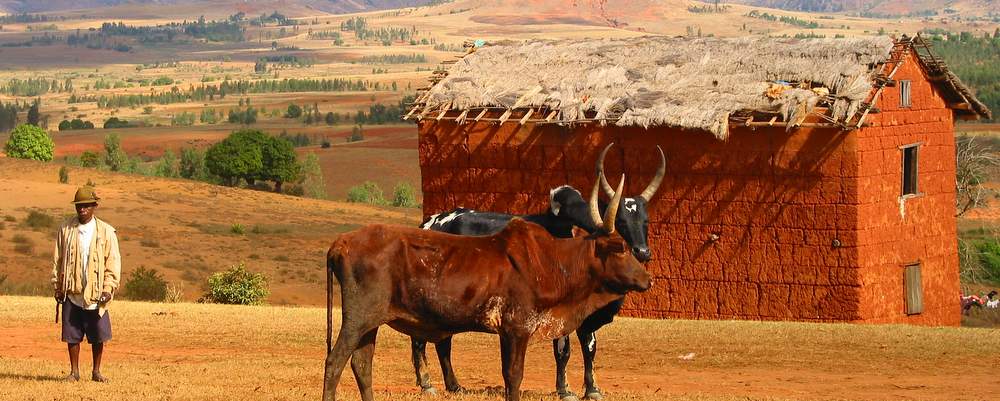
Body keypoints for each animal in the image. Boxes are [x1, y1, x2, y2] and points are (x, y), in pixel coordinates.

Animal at [412, 142, 664, 398]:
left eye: (645, 221)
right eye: (621, 221)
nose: (643, 252)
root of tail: (429, 222)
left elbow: (589, 347)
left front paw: (592, 389)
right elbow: (563, 350)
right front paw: (565, 390)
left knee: (443, 342)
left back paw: (454, 385)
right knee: (420, 339)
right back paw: (427, 384)